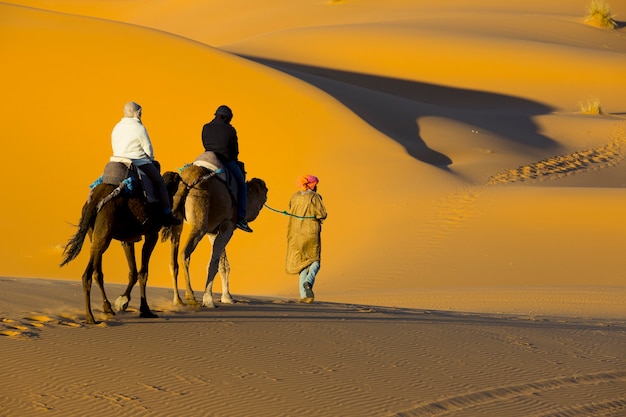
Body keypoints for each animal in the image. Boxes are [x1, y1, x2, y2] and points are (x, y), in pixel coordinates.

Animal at [60, 167, 179, 324]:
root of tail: (96, 198)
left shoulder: (128, 239)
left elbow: (133, 272)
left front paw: (123, 301)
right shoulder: (152, 234)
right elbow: (143, 272)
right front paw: (143, 309)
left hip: (94, 233)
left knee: (97, 271)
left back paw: (107, 308)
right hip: (105, 230)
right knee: (88, 274)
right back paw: (90, 317)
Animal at [161, 158, 266, 308]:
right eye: (263, 189)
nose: (266, 188)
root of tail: (186, 180)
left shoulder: (213, 232)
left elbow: (223, 265)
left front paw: (227, 297)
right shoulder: (228, 225)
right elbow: (214, 263)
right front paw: (209, 300)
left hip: (178, 220)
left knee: (173, 261)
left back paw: (178, 300)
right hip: (200, 222)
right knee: (184, 253)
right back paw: (191, 296)